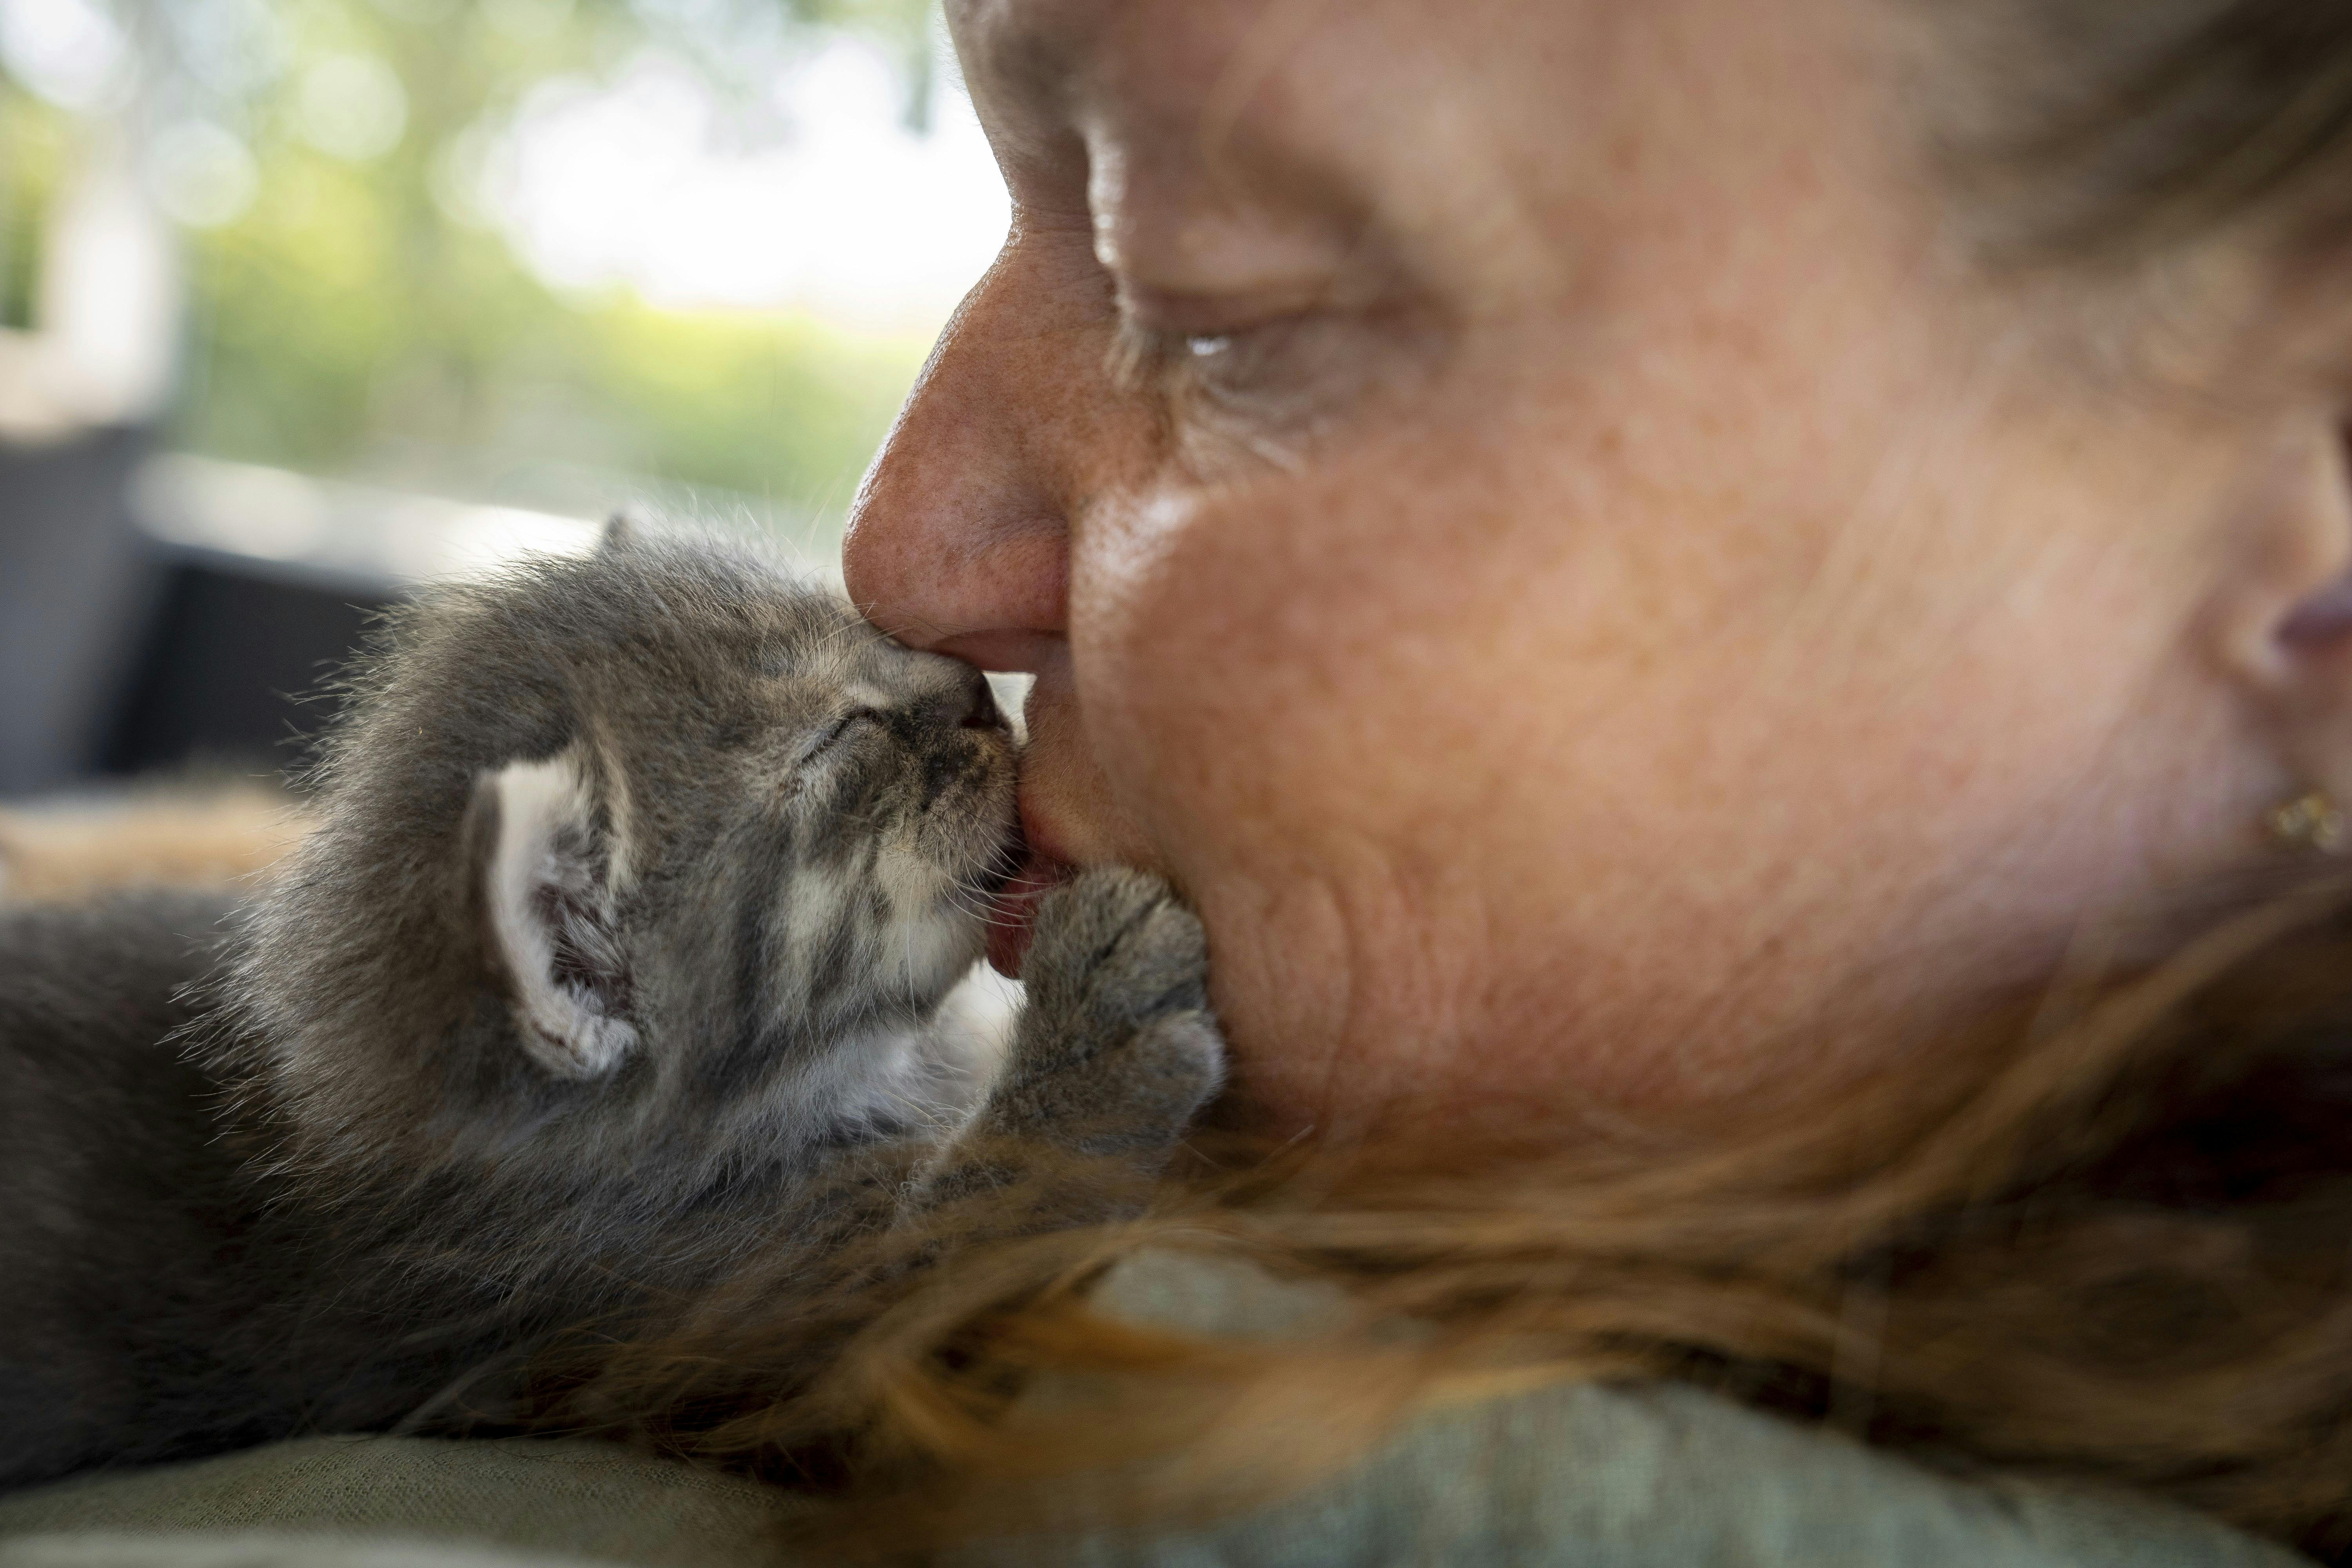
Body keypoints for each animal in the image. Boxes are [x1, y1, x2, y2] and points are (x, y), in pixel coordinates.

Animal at [0, 526, 1214, 1495]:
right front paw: (1098, 1029)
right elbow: (978, 1237)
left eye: (866, 630)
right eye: (840, 743)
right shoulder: (708, 1333)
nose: (972, 685)